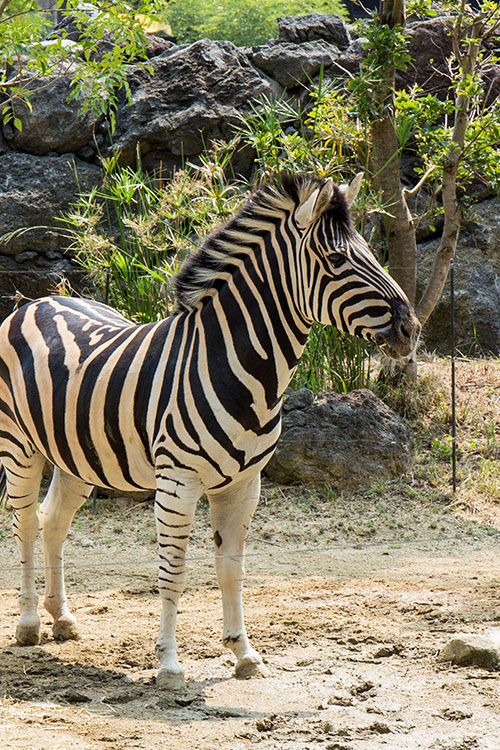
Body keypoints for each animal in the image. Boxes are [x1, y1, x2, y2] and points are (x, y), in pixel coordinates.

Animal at [0, 173, 420, 692]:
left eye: (371, 252)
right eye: (338, 260)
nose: (411, 329)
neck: (240, 367)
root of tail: (40, 300)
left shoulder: (244, 484)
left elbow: (231, 571)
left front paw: (244, 654)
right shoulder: (178, 482)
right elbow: (174, 573)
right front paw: (168, 665)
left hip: (77, 454)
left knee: (53, 520)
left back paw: (62, 619)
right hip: (19, 445)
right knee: (25, 522)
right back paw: (29, 624)